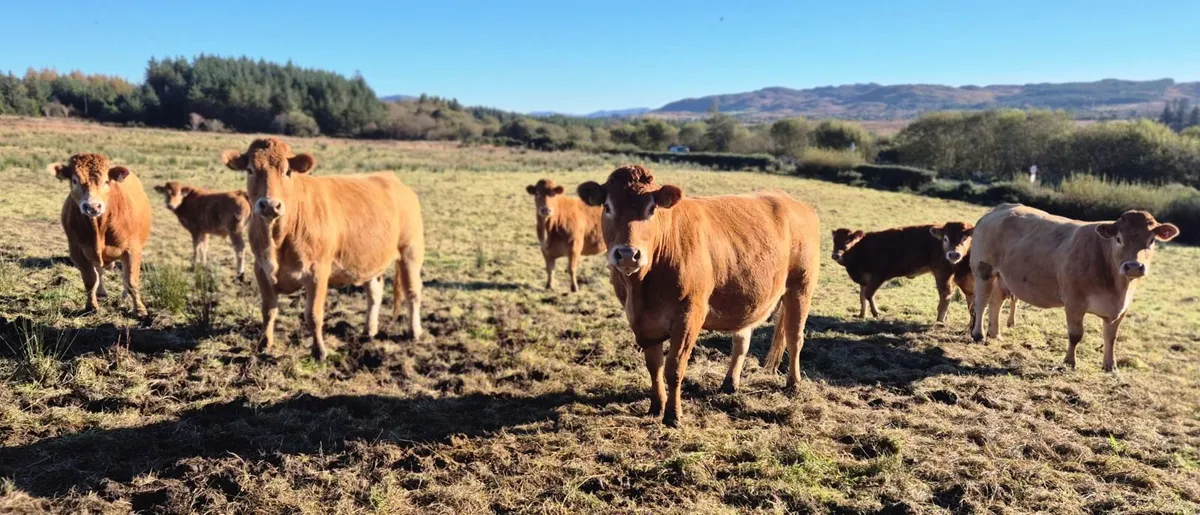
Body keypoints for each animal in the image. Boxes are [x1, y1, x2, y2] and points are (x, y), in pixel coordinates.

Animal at [53, 153, 152, 315]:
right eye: (74, 180)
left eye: (106, 181)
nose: (93, 206)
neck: (99, 228)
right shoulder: (77, 251)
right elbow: (90, 280)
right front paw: (91, 306)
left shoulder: (133, 250)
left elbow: (130, 280)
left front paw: (140, 310)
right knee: (99, 271)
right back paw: (101, 293)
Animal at [220, 138, 425, 360]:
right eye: (250, 170)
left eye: (287, 171)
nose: (270, 205)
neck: (277, 238)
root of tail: (392, 179)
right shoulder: (261, 268)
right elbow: (268, 310)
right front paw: (264, 345)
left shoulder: (317, 272)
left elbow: (313, 314)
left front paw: (319, 351)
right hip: (371, 260)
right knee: (375, 293)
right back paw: (369, 331)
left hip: (410, 252)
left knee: (413, 292)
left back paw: (414, 332)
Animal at [577, 165, 821, 427]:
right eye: (607, 207)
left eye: (651, 209)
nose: (627, 254)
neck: (642, 288)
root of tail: (794, 202)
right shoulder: (641, 321)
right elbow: (654, 367)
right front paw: (656, 407)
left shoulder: (689, 316)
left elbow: (674, 367)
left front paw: (673, 415)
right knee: (741, 342)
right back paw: (729, 383)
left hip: (801, 287)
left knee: (795, 337)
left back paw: (793, 384)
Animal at [970, 204, 1179, 371]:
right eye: (1119, 239)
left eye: (1151, 240)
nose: (1134, 266)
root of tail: (1000, 209)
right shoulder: (1074, 302)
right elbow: (1076, 335)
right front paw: (1070, 362)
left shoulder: (1123, 308)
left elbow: (1111, 337)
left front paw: (1110, 366)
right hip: (984, 270)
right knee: (982, 302)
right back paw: (978, 334)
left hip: (1003, 277)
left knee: (996, 302)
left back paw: (995, 333)